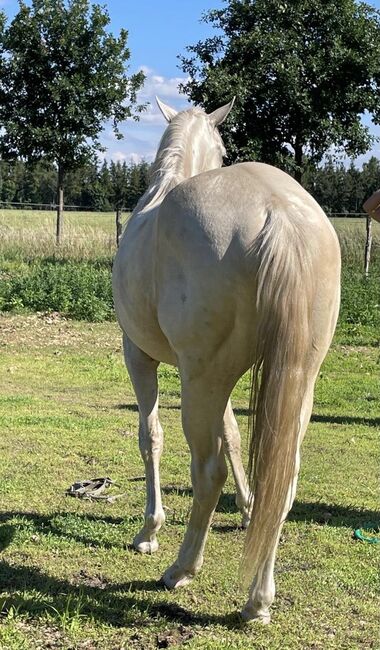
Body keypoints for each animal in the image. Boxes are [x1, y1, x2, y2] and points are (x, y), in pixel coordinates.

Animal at [111, 97, 340, 624]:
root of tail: (279, 212)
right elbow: (236, 437)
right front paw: (249, 506)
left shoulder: (141, 357)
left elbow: (150, 438)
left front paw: (148, 531)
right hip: (293, 380)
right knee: (284, 477)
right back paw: (258, 601)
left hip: (200, 381)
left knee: (206, 470)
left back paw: (180, 568)